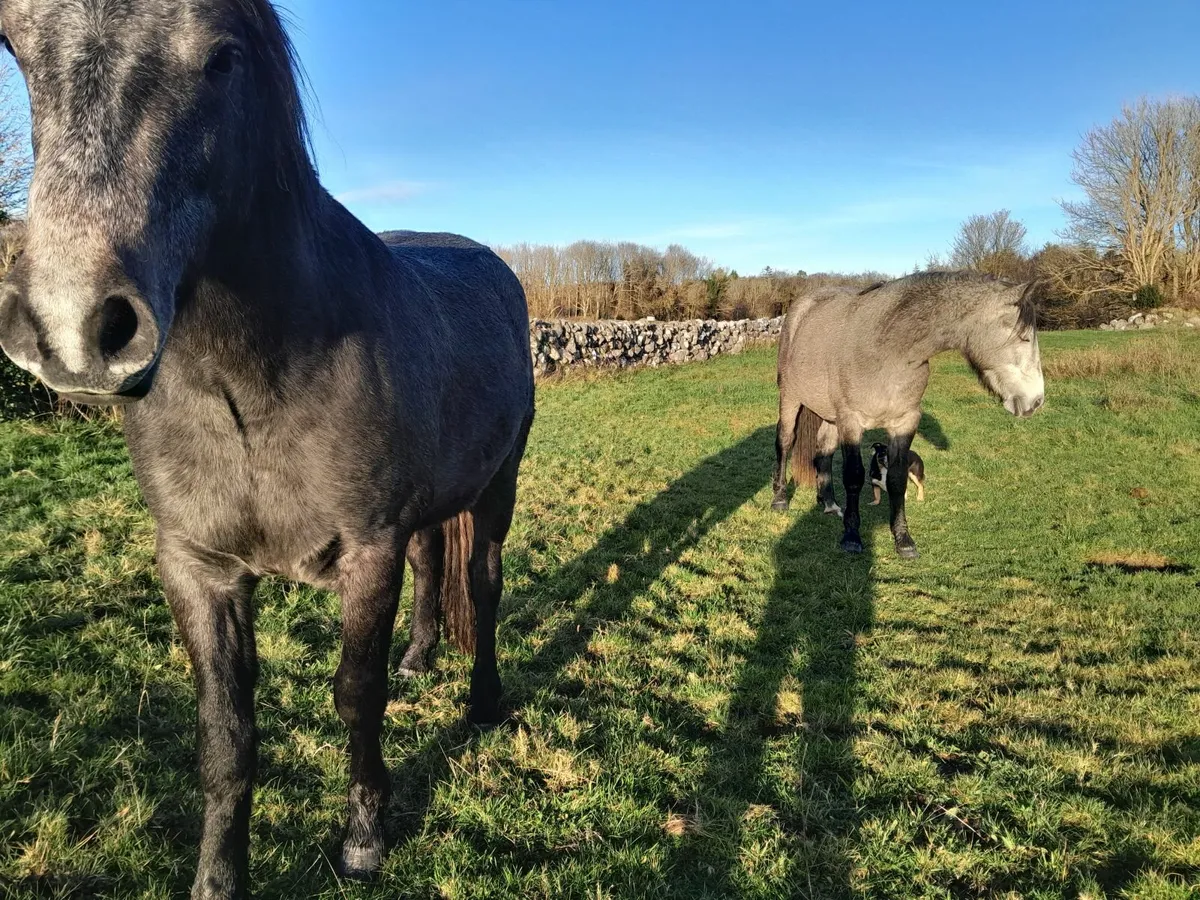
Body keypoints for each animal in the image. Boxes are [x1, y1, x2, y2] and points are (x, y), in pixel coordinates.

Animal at [0, 2, 534, 897]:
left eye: (223, 59)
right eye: (17, 51)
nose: (74, 331)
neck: (258, 383)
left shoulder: (367, 555)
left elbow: (356, 694)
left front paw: (363, 839)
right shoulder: (196, 566)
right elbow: (226, 734)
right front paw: (218, 878)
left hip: (498, 487)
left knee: (484, 583)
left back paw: (483, 701)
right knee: (436, 564)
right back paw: (422, 656)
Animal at [772, 272, 1044, 559]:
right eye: (1024, 338)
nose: (1036, 401)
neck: (887, 349)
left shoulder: (904, 422)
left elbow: (897, 479)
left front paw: (903, 539)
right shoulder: (851, 421)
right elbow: (854, 477)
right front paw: (852, 536)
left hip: (830, 416)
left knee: (823, 451)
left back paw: (829, 503)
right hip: (791, 398)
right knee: (785, 441)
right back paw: (779, 499)